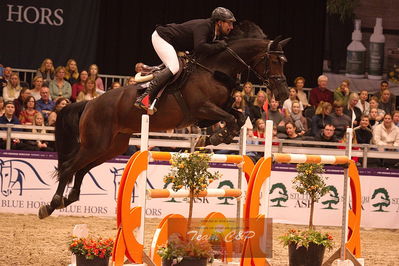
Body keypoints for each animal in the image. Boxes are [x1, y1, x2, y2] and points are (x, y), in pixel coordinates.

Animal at [38, 21, 290, 218]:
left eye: (284, 62)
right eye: (274, 62)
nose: (284, 94)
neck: (216, 68)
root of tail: (90, 103)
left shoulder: (211, 112)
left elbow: (239, 116)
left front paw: (212, 139)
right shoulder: (203, 108)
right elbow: (230, 118)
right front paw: (218, 137)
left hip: (111, 146)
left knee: (81, 170)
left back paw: (69, 199)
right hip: (95, 143)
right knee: (69, 167)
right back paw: (51, 205)